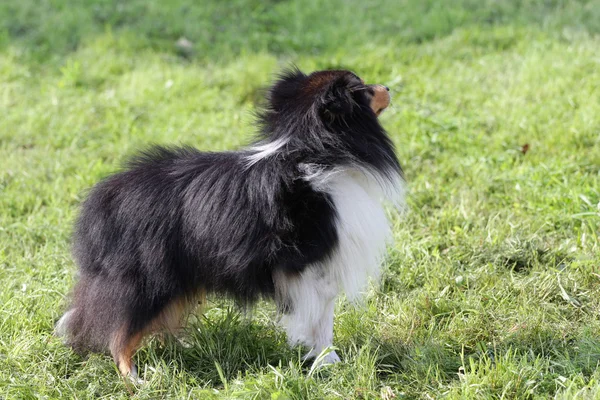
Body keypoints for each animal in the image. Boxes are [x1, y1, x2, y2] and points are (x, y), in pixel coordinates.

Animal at [56, 68, 406, 378]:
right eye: (362, 89)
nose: (389, 87)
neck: (313, 150)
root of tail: (102, 202)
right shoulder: (311, 267)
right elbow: (320, 318)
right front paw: (326, 363)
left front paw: (324, 361)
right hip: (149, 278)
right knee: (120, 330)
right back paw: (135, 378)